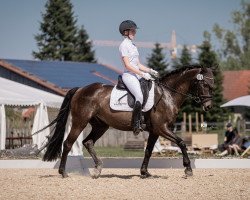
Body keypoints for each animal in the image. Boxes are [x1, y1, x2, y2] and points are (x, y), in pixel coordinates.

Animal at [41, 65, 215, 178]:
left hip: (101, 125)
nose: (208, 106)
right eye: (204, 84)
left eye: (212, 85)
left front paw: (145, 173)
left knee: (88, 142)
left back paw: (97, 169)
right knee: (68, 144)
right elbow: (182, 143)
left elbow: (148, 151)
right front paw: (188, 169)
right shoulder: (162, 128)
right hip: (80, 122)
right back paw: (63, 172)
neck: (167, 94)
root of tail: (80, 89)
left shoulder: (154, 131)